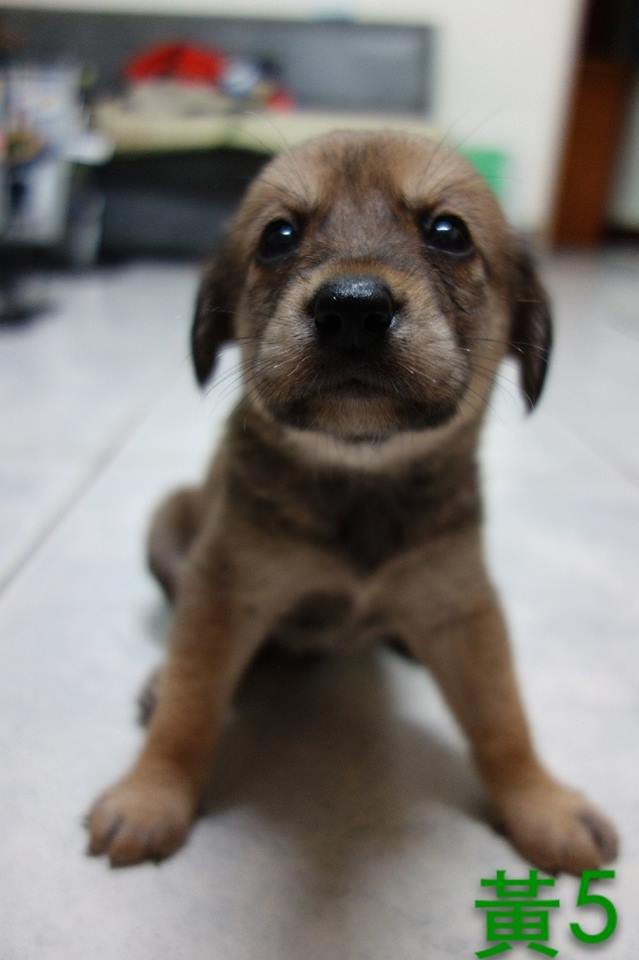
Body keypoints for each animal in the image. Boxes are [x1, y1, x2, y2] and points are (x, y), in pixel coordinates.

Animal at [87, 130, 617, 872]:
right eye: (277, 236)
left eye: (449, 233)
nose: (353, 309)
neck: (360, 475)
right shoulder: (224, 589)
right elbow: (189, 707)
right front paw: (149, 795)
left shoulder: (460, 606)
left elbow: (503, 716)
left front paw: (542, 802)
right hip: (169, 523)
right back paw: (161, 681)